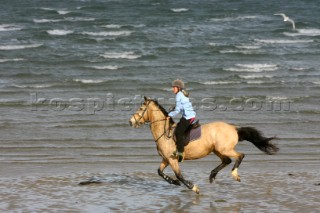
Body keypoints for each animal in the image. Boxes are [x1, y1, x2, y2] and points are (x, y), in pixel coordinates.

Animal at [128, 97, 278, 194]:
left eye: (141, 108)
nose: (131, 122)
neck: (165, 133)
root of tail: (234, 128)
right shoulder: (166, 159)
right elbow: (160, 172)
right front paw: (174, 183)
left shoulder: (172, 159)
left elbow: (179, 175)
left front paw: (193, 187)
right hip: (217, 150)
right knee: (227, 160)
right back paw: (212, 175)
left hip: (225, 149)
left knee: (240, 156)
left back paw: (234, 175)